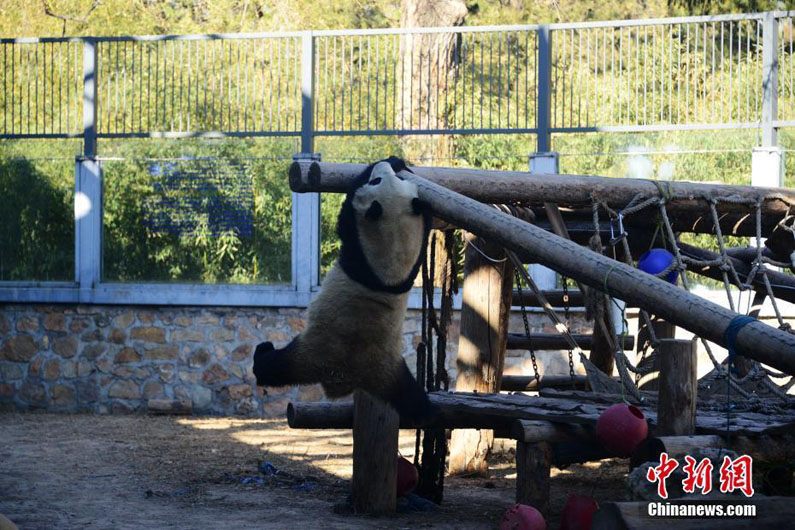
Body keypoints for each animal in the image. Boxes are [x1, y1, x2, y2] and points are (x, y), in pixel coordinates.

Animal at [252, 156, 436, 420]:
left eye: (376, 180)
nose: (383, 169)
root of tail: (344, 378)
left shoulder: (359, 248)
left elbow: (347, 214)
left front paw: (385, 161)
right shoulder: (408, 264)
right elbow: (425, 228)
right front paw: (399, 163)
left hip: (311, 353)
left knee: (274, 367)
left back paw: (263, 351)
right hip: (389, 370)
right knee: (413, 401)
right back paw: (426, 414)